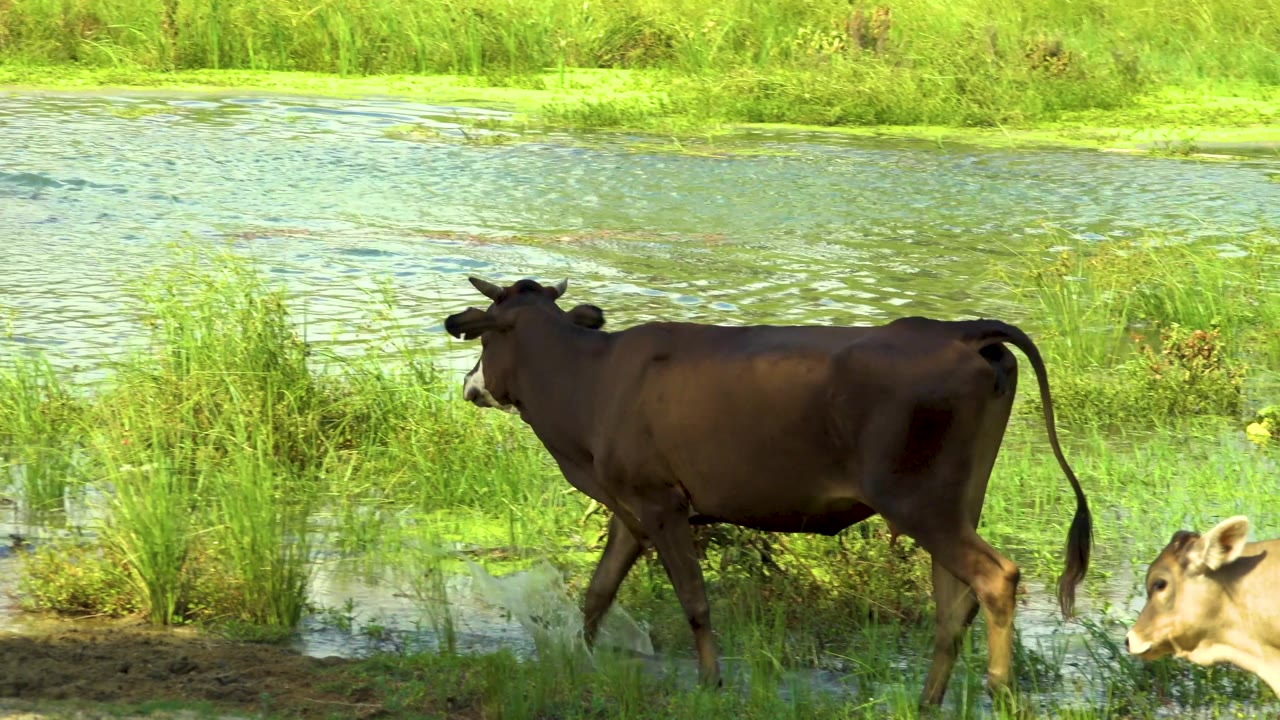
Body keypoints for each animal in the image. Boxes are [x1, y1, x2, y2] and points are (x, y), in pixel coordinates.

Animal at [443, 276, 1092, 708]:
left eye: (485, 339)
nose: (470, 383)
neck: (588, 383)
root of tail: (960, 332)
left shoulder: (661, 502)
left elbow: (694, 601)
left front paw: (710, 682)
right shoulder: (629, 508)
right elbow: (598, 592)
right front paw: (577, 656)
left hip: (919, 502)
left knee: (995, 578)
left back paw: (998, 692)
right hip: (957, 501)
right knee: (952, 603)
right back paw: (929, 701)